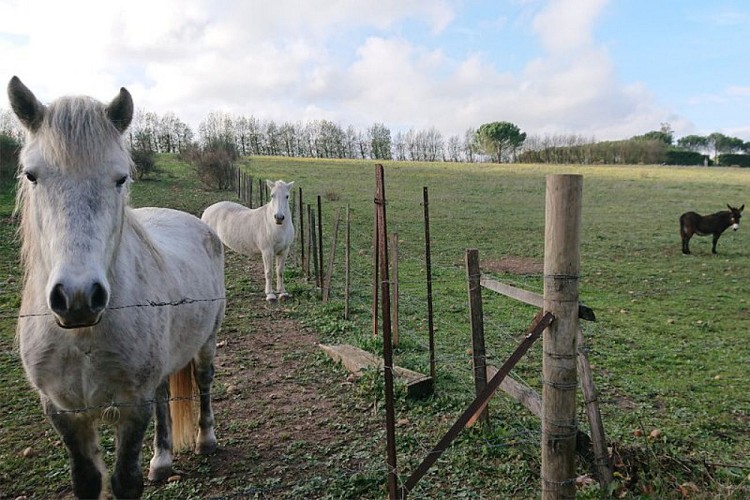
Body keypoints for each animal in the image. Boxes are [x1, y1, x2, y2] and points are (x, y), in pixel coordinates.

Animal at [8, 76, 225, 499]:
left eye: (120, 177)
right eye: (31, 175)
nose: (77, 298)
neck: (83, 337)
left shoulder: (132, 405)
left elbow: (126, 480)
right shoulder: (62, 411)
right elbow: (87, 481)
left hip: (207, 340)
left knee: (203, 381)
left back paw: (206, 440)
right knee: (164, 397)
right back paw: (162, 460)